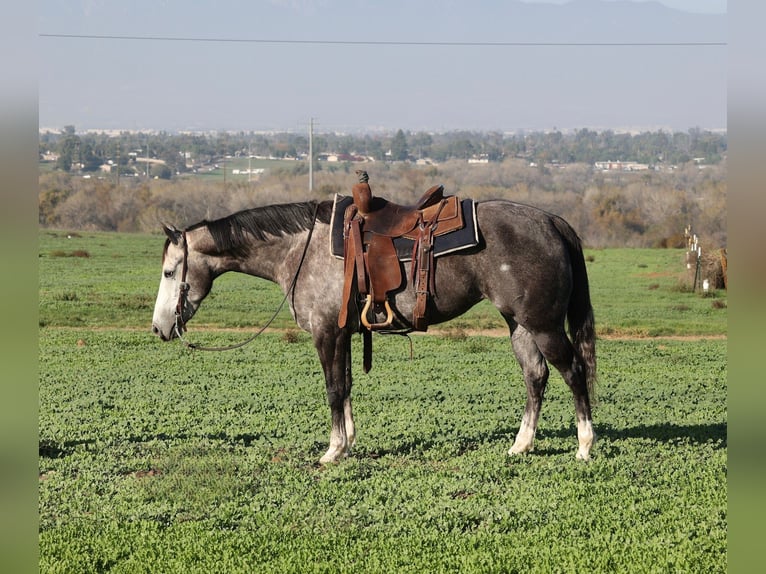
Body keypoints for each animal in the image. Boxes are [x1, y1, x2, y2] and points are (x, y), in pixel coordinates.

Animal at [151, 195, 597, 464]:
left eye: (170, 272)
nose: (159, 328)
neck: (300, 250)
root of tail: (551, 221)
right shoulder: (344, 334)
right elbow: (346, 386)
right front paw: (348, 443)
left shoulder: (326, 333)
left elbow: (333, 388)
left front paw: (332, 451)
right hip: (520, 325)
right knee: (535, 377)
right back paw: (521, 445)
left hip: (544, 326)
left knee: (573, 372)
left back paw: (584, 446)